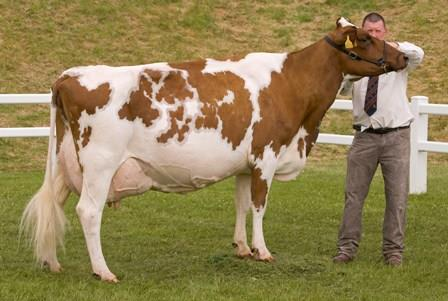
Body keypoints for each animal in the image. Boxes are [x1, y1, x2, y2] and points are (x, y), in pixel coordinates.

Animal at [20, 18, 406, 282]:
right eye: (367, 38)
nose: (403, 56)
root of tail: (70, 74)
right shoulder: (266, 154)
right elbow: (259, 206)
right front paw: (263, 251)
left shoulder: (245, 163)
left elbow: (241, 203)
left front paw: (242, 248)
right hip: (100, 163)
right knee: (88, 211)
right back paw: (103, 271)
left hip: (66, 164)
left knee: (55, 205)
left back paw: (52, 262)